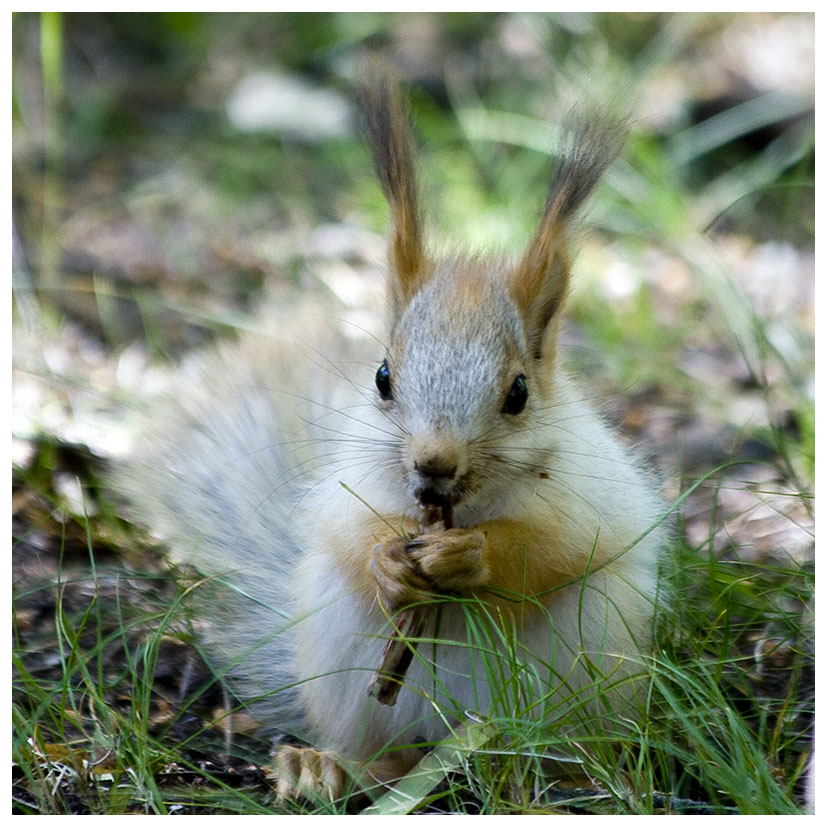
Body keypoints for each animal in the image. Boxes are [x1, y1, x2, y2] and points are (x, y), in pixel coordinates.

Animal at [111, 73, 668, 804]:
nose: (434, 462)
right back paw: (329, 768)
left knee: (552, 748)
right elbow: (348, 533)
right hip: (345, 655)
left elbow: (557, 546)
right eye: (381, 377)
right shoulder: (347, 483)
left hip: (590, 655)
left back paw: (555, 777)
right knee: (391, 757)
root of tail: (456, 736)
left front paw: (471, 556)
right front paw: (385, 559)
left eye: (519, 394)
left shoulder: (589, 489)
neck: (458, 503)